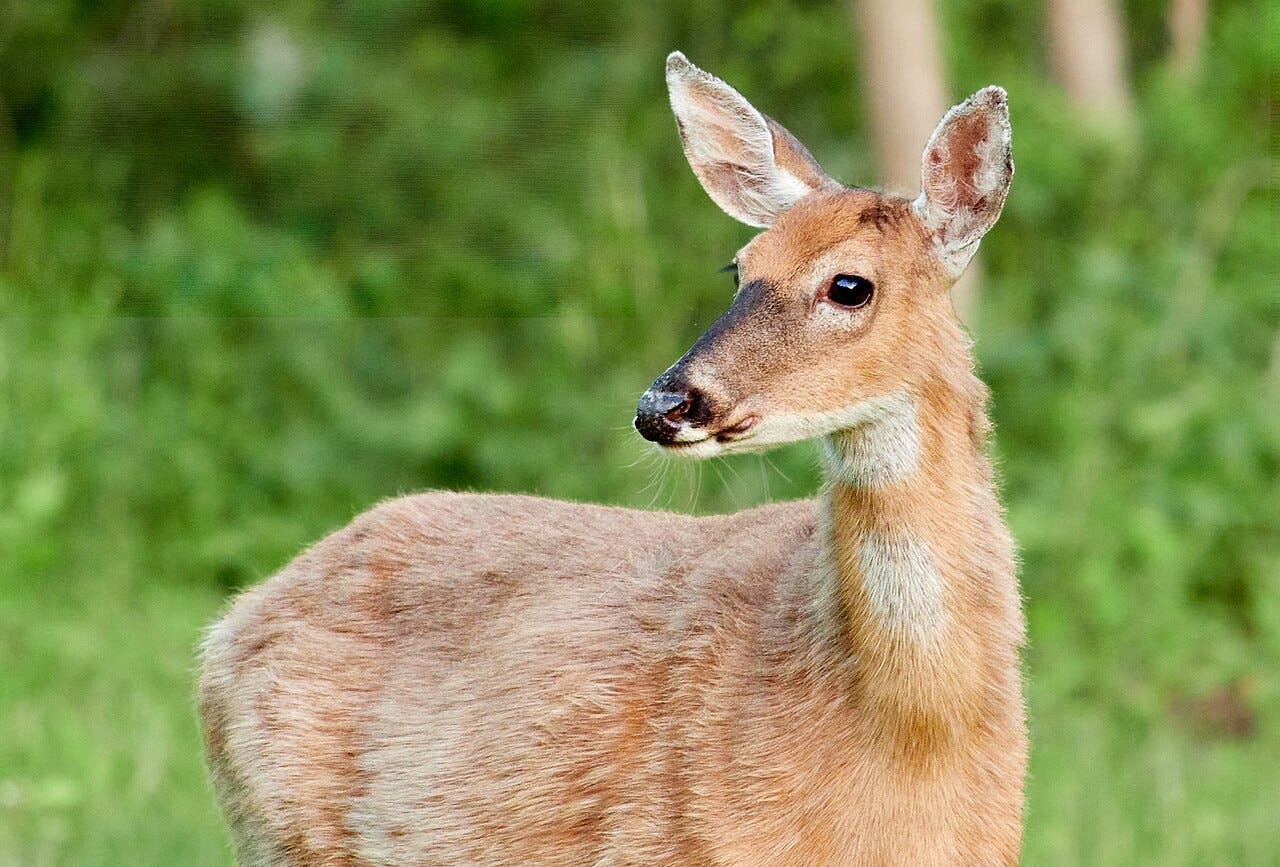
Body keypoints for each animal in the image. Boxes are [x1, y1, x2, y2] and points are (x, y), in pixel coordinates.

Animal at [199, 52, 1026, 866]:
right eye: (739, 266)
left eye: (850, 285)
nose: (665, 404)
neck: (912, 736)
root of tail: (228, 628)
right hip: (280, 836)